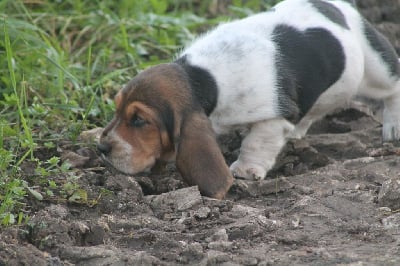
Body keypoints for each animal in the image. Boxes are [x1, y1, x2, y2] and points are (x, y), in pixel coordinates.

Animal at [97, 0, 400, 198]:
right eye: (117, 110)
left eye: (139, 120)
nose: (101, 148)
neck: (204, 78)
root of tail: (339, 6)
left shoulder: (275, 116)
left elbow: (257, 142)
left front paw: (246, 169)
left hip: (375, 69)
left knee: (392, 86)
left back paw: (393, 127)